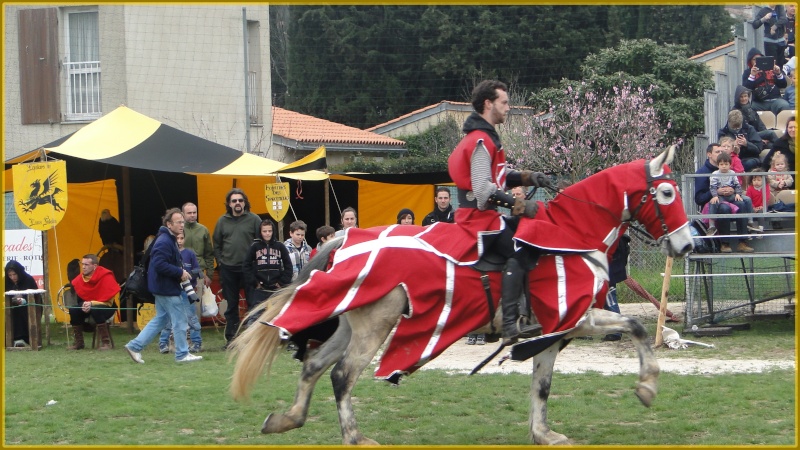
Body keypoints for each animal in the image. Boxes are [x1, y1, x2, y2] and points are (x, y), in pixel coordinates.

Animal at [227, 147, 692, 442]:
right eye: (667, 192)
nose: (687, 245)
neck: (572, 235)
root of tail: (344, 238)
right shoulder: (576, 317)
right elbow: (634, 326)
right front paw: (647, 386)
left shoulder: (554, 331)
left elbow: (542, 384)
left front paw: (543, 433)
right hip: (376, 325)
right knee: (342, 375)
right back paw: (355, 438)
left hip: (350, 323)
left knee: (314, 365)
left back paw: (288, 419)